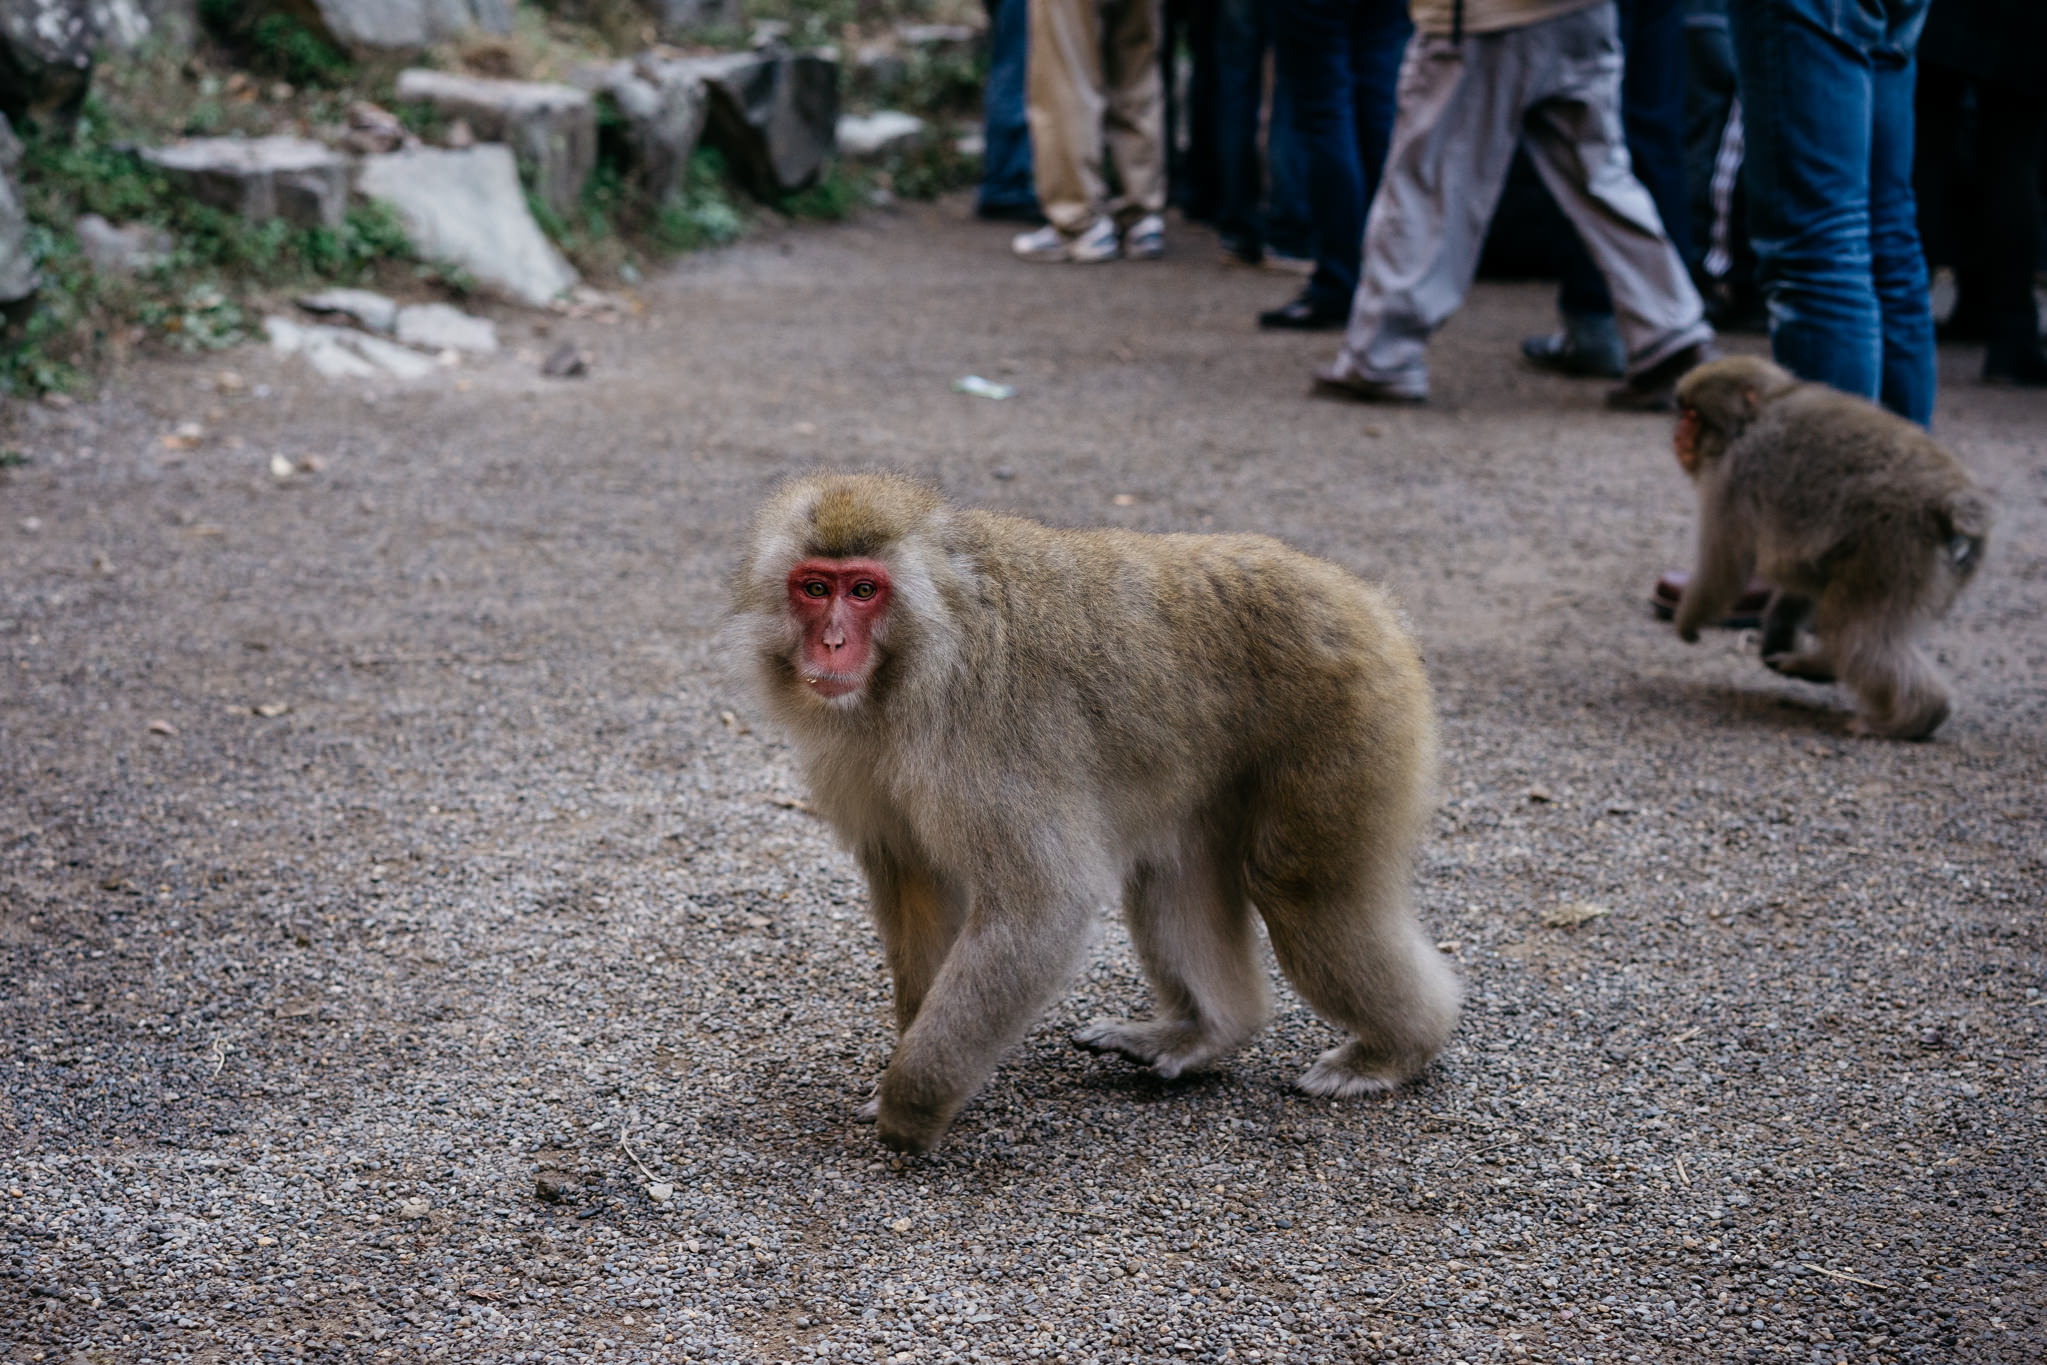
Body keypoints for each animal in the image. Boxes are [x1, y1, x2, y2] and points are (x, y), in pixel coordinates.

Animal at [731, 473, 1459, 1153]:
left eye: (862, 591)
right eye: (814, 588)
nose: (829, 643)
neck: (920, 657)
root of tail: (1365, 599)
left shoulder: (988, 736)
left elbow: (1041, 906)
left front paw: (908, 1107)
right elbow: (914, 883)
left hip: (1347, 717)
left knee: (1299, 887)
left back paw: (1395, 1050)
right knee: (1173, 868)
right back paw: (1209, 1032)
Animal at [1669, 356, 1994, 740]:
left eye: (1692, 415)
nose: (1677, 435)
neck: (1762, 410)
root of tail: (1955, 501)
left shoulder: (1733, 476)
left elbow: (1725, 568)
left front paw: (1688, 619)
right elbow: (1799, 574)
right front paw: (1778, 627)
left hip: (1893, 547)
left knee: (1855, 634)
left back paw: (1915, 718)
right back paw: (1821, 667)